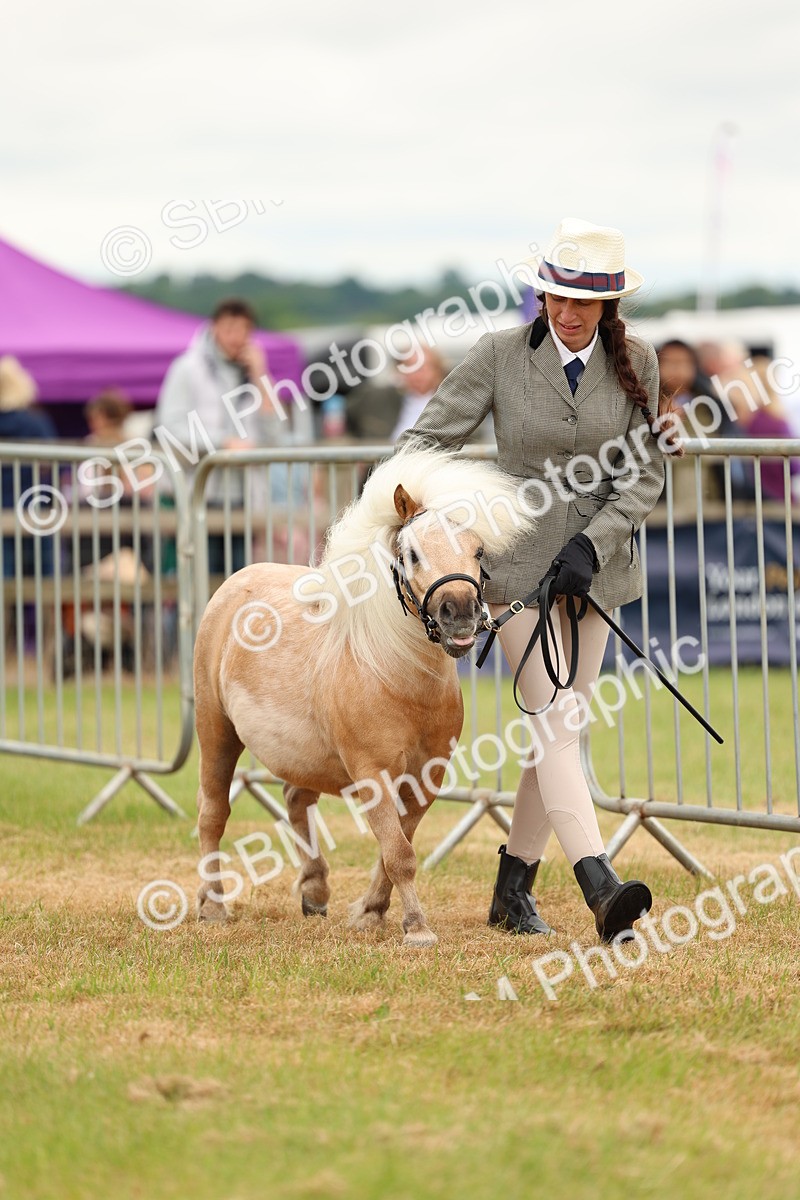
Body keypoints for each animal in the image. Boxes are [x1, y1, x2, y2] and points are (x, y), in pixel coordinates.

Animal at [193, 444, 537, 946]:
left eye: (477, 551)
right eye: (412, 554)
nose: (459, 615)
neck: (397, 678)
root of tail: (234, 583)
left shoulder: (425, 778)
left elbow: (397, 848)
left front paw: (372, 912)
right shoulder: (372, 774)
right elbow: (399, 854)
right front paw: (416, 929)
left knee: (296, 801)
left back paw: (314, 892)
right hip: (216, 733)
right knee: (213, 813)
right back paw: (213, 905)